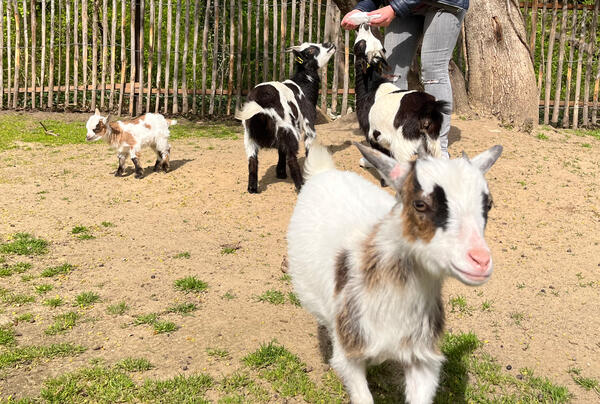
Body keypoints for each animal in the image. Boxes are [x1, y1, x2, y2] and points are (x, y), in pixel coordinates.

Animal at [236, 41, 338, 193]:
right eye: (311, 50)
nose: (330, 44)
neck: (303, 87)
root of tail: (259, 101)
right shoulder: (309, 124)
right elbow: (308, 149)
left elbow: (280, 150)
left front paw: (281, 173)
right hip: (289, 129)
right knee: (291, 158)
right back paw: (300, 185)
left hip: (249, 136)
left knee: (252, 161)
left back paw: (252, 188)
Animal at [288, 142, 504, 404]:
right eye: (419, 203)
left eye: (488, 204)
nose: (480, 261)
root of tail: (325, 171)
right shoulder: (349, 352)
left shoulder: (422, 357)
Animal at [354, 24, 448, 166]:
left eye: (361, 44)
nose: (365, 25)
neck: (371, 85)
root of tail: (428, 107)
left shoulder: (371, 132)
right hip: (432, 138)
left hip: (402, 142)